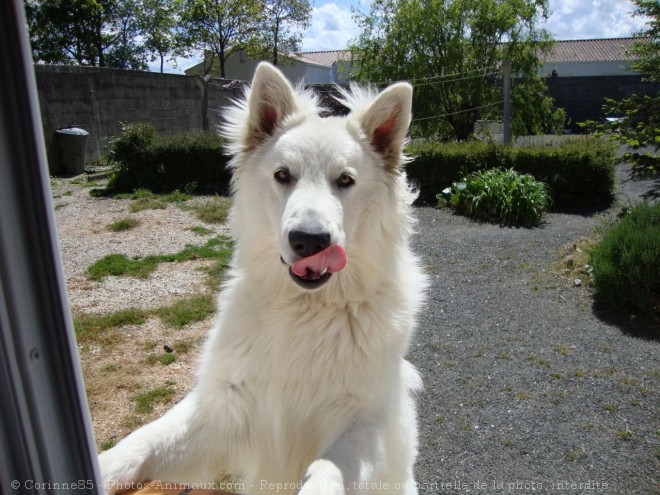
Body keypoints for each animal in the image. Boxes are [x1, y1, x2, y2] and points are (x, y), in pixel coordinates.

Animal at [99, 63, 428, 495]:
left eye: (345, 181)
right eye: (283, 175)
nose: (309, 241)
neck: (305, 309)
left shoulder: (363, 426)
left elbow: (327, 471)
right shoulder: (223, 409)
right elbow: (141, 441)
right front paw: (102, 466)